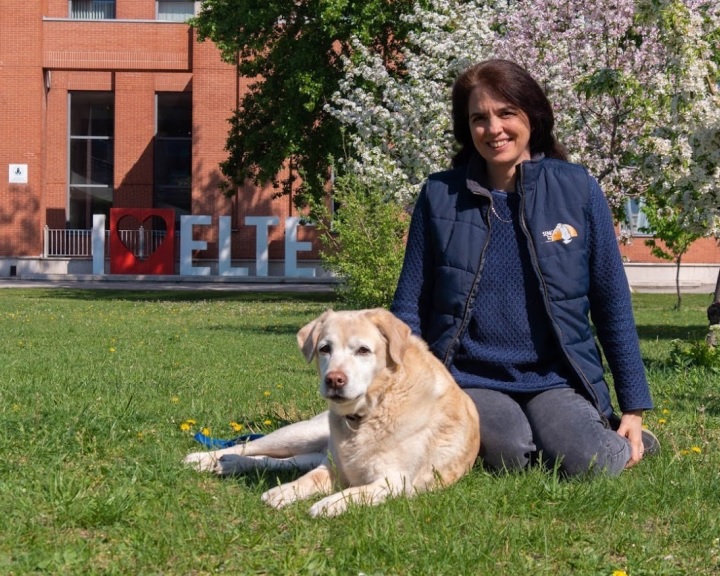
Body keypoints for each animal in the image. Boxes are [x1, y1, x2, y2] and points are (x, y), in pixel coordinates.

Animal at [184, 308, 478, 520]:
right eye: (325, 348)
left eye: (363, 350)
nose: (334, 379)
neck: (370, 411)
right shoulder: (332, 467)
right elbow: (308, 479)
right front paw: (285, 492)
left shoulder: (395, 481)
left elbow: (356, 492)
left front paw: (327, 504)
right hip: (302, 433)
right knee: (251, 446)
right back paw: (208, 459)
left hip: (313, 449)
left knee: (279, 461)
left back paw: (228, 464)